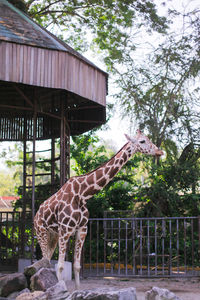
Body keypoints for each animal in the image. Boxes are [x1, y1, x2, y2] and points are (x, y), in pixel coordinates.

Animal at [34, 129, 162, 288]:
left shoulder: (82, 229)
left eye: (148, 138)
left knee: (46, 261)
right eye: (142, 141)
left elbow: (77, 266)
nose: (160, 151)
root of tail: (36, 215)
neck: (82, 194)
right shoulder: (65, 230)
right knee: (44, 261)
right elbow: (61, 266)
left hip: (53, 236)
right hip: (42, 233)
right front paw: (61, 289)